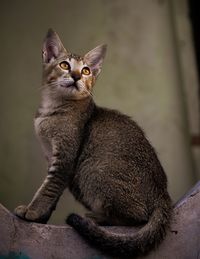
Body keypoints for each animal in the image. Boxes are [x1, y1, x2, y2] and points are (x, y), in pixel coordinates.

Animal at [14, 29, 173, 258]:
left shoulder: (65, 160)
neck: (51, 109)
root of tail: (163, 194)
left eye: (86, 70)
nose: (76, 76)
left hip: (92, 169)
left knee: (138, 218)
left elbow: (48, 189)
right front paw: (42, 218)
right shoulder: (51, 156)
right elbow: (52, 194)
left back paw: (98, 218)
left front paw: (33, 211)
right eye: (65, 65)